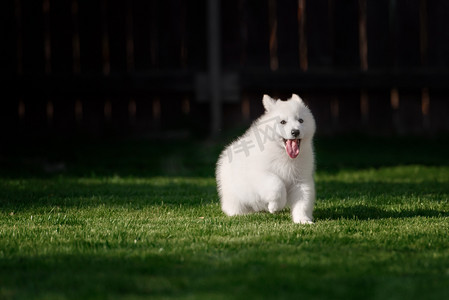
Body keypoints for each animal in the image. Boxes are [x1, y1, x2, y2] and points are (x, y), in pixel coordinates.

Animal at [216, 94, 316, 223]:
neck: (283, 154)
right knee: (232, 206)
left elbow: (303, 202)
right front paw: (275, 206)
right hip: (233, 194)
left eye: (301, 120)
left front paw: (302, 220)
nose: (295, 132)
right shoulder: (260, 175)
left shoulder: (301, 181)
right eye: (283, 122)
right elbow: (277, 185)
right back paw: (240, 214)